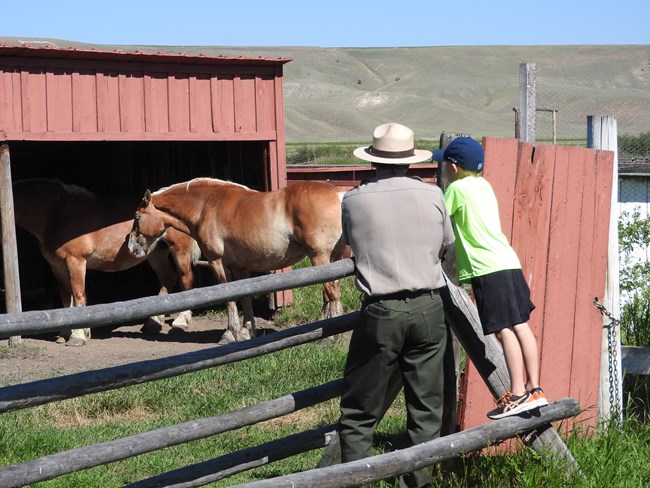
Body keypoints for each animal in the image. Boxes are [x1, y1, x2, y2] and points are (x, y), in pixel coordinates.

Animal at [12, 177, 200, 346]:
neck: (58, 214)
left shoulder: (76, 261)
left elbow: (78, 296)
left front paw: (78, 335)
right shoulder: (57, 266)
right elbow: (66, 299)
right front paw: (65, 333)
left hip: (179, 249)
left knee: (185, 279)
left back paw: (180, 322)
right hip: (155, 255)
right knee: (168, 278)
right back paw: (152, 324)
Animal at [123, 178, 342, 344]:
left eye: (137, 217)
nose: (131, 247)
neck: (206, 205)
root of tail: (338, 194)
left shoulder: (217, 263)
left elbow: (229, 298)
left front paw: (229, 334)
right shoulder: (239, 267)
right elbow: (244, 297)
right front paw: (247, 331)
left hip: (320, 257)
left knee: (331, 293)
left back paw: (331, 336)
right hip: (332, 258)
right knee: (331, 293)